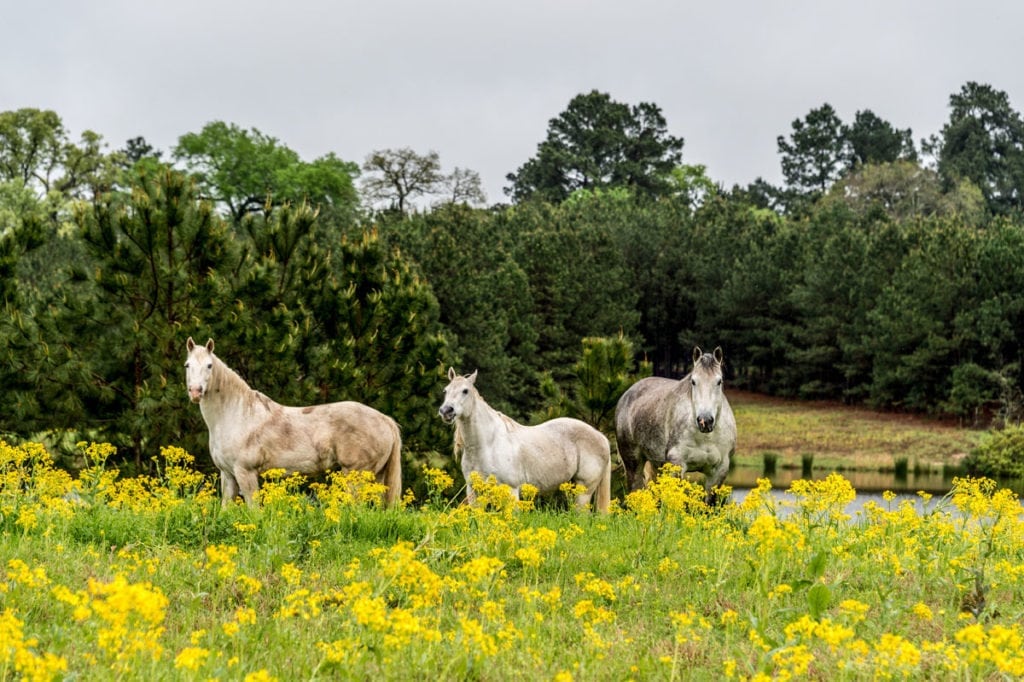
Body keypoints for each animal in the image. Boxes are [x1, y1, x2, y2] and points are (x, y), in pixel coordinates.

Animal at [186, 335, 401, 503]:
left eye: (209, 366)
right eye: (187, 365)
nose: (196, 392)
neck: (237, 414)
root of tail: (385, 420)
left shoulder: (245, 472)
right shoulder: (228, 475)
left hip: (357, 475)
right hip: (377, 476)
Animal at [438, 366, 610, 509]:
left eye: (465, 391)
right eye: (445, 391)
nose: (446, 411)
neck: (487, 445)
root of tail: (601, 437)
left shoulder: (511, 490)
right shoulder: (473, 491)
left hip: (584, 491)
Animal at [614, 348, 737, 501]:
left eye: (719, 381)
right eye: (693, 381)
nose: (705, 421)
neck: (705, 437)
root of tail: (627, 394)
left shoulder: (719, 471)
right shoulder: (677, 464)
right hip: (633, 462)